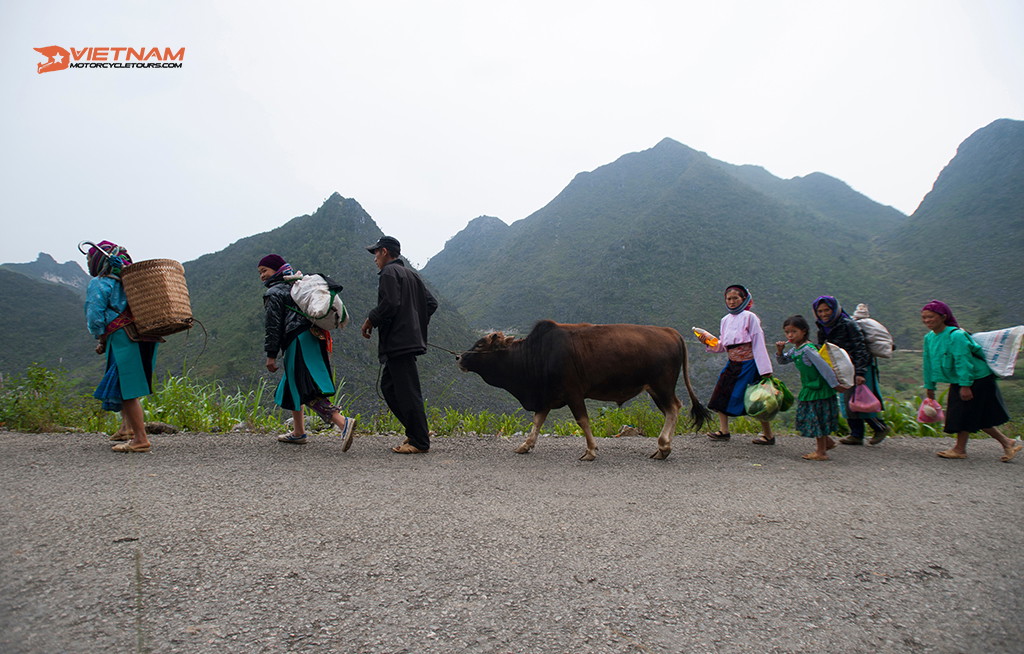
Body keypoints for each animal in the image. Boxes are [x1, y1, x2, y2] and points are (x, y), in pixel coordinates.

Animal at [458, 321, 712, 460]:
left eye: (480, 345)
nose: (459, 357)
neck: (536, 354)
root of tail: (671, 332)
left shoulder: (573, 393)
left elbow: (583, 421)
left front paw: (590, 450)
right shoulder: (546, 397)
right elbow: (537, 422)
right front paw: (525, 445)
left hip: (661, 386)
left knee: (674, 408)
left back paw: (664, 446)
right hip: (656, 389)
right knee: (671, 410)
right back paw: (662, 448)